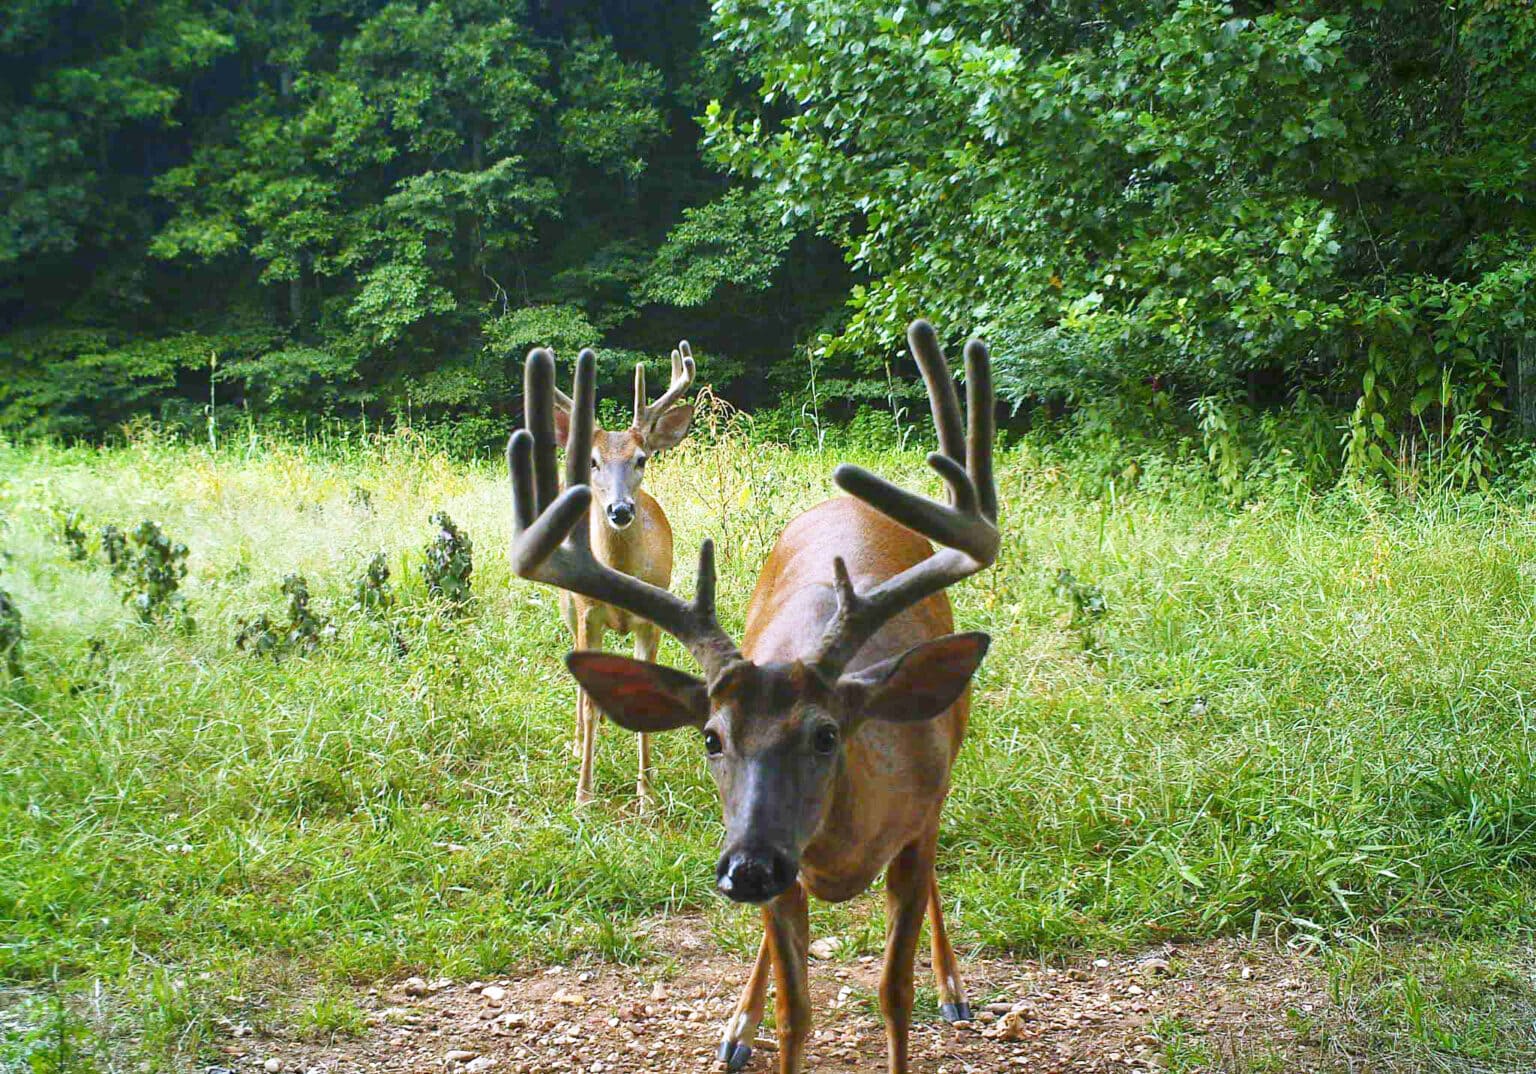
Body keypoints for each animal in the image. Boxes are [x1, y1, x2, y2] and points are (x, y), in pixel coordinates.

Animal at [549, 343, 696, 808]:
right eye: (594, 462)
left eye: (641, 459)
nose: (619, 510)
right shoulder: (587, 613)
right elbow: (589, 701)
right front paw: (583, 794)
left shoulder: (652, 622)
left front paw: (646, 794)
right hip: (567, 607)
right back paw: (579, 743)